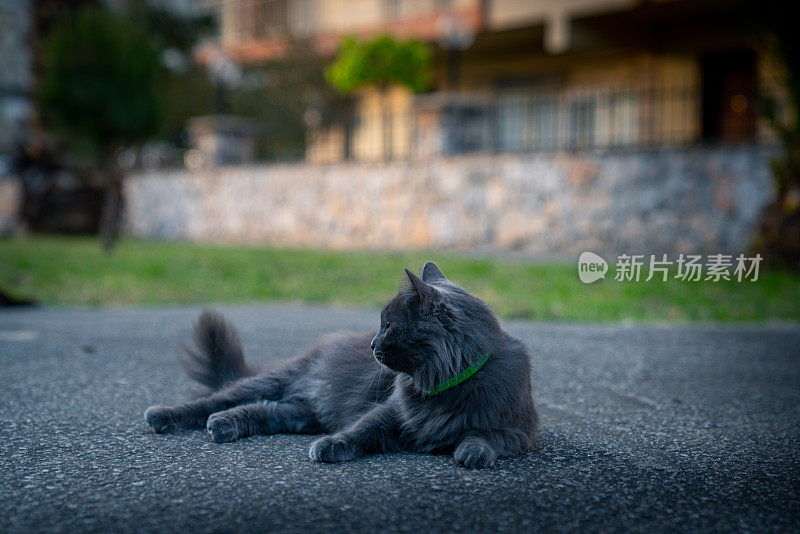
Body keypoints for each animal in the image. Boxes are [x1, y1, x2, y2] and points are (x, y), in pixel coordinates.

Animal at [147, 262, 540, 468]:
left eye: (389, 326)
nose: (372, 344)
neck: (442, 386)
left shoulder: (517, 431)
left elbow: (485, 436)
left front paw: (470, 452)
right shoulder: (390, 412)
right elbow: (361, 430)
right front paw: (329, 447)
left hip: (301, 413)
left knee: (261, 410)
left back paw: (223, 426)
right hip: (277, 381)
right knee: (215, 400)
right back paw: (164, 416)